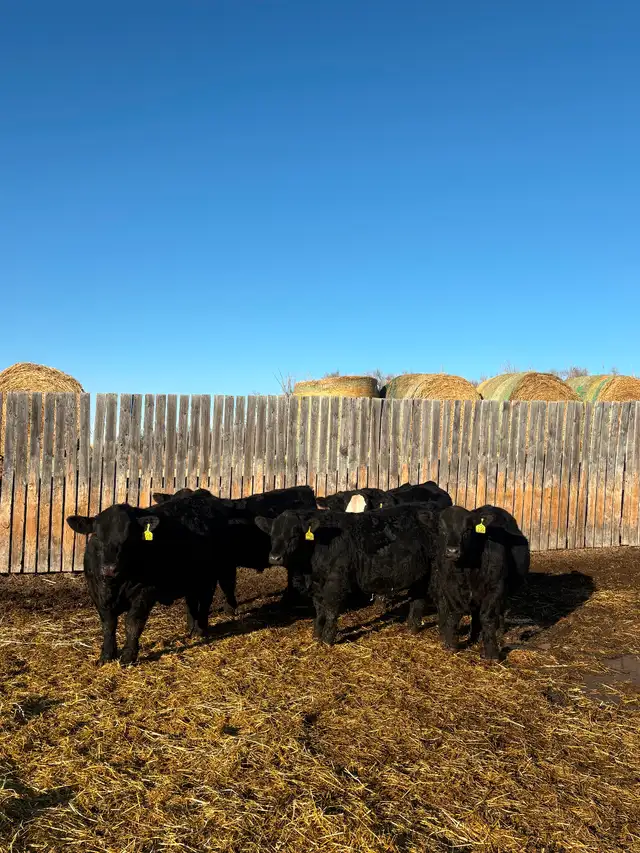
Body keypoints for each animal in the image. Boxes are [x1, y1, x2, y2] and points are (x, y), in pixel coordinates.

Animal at [66, 490, 239, 665]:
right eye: (96, 536)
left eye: (129, 538)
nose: (109, 569)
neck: (116, 584)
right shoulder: (96, 592)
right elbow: (108, 625)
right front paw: (106, 656)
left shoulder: (145, 592)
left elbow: (133, 623)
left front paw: (128, 657)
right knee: (191, 602)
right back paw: (190, 627)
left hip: (212, 574)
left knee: (207, 599)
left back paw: (200, 629)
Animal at [255, 504, 439, 645]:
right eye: (272, 534)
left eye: (294, 535)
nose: (274, 557)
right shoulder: (317, 585)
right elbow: (319, 609)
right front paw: (316, 635)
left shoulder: (335, 582)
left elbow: (331, 610)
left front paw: (327, 639)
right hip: (420, 575)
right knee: (418, 598)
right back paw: (412, 627)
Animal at [430, 504, 530, 660]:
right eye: (441, 528)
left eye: (468, 529)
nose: (452, 551)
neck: (466, 567)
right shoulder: (448, 585)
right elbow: (455, 613)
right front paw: (451, 644)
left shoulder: (496, 587)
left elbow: (487, 617)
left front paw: (491, 653)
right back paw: (473, 638)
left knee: (496, 615)